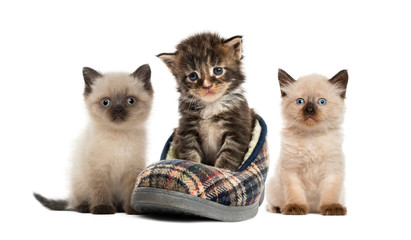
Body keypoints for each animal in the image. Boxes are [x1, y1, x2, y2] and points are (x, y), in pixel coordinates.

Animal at [33, 63, 154, 214]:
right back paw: (86, 207)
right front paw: (102, 208)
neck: (118, 136)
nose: (118, 110)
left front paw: (132, 210)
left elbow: (131, 191)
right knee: (77, 202)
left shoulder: (133, 168)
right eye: (106, 102)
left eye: (130, 101)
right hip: (79, 184)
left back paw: (120, 208)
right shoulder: (98, 168)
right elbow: (100, 191)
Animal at [158, 32, 258, 172]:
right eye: (193, 76)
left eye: (218, 70)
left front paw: (223, 171)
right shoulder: (186, 130)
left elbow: (227, 158)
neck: (211, 106)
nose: (207, 86)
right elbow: (190, 155)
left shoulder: (237, 131)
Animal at [266, 68, 350, 215]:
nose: (309, 110)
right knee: (270, 203)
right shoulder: (291, 171)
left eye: (321, 102)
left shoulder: (332, 171)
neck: (311, 139)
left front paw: (332, 207)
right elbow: (295, 193)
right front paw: (295, 207)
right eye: (300, 101)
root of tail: (313, 209)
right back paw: (278, 208)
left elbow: (330, 193)